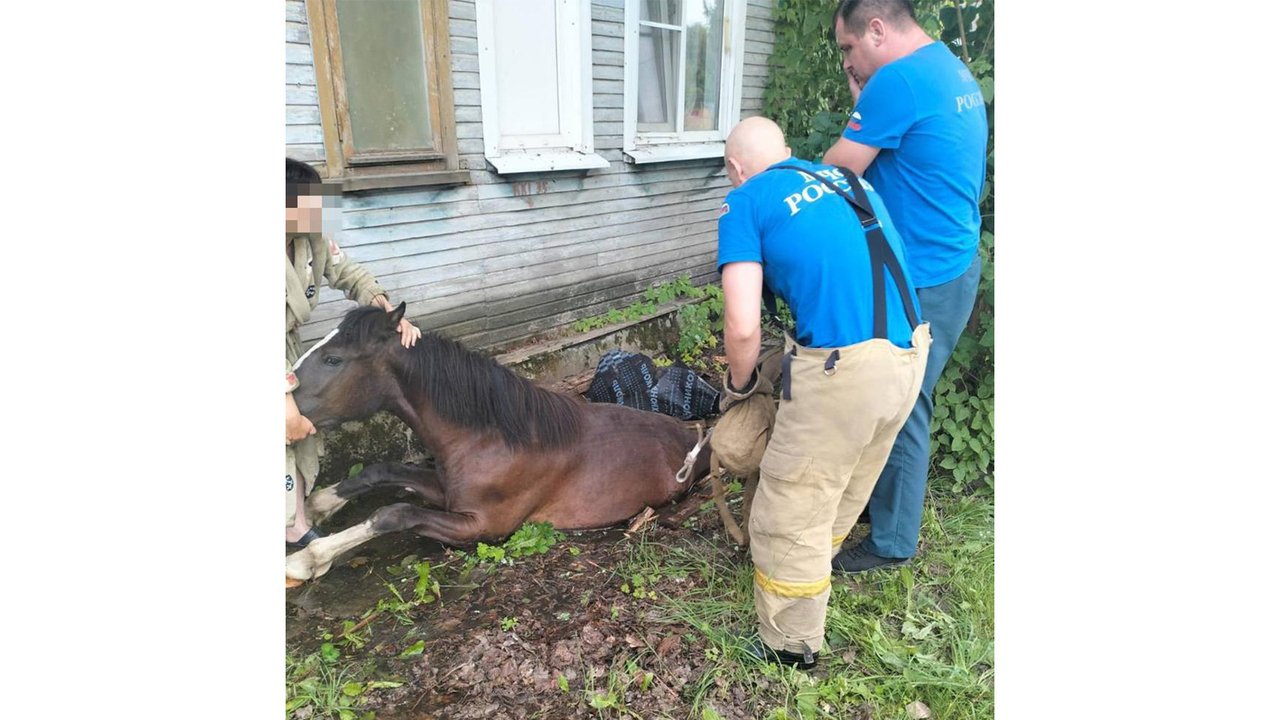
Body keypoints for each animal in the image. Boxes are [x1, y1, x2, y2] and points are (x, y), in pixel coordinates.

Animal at [284, 299, 716, 579]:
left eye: (333, 359)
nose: (286, 406)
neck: (491, 438)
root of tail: (697, 437)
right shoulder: (447, 493)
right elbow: (381, 470)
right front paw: (319, 505)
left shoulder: (481, 526)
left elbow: (394, 513)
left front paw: (308, 560)